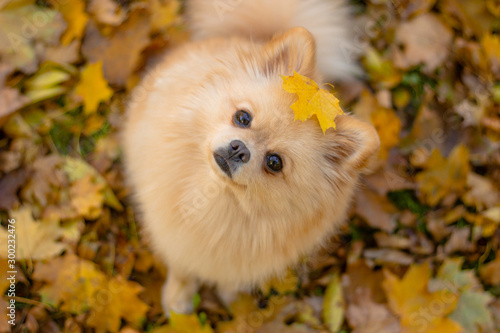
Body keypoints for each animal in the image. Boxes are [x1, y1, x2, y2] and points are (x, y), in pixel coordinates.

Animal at [123, 0, 380, 314]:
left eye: (274, 163)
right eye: (243, 117)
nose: (239, 149)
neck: (215, 198)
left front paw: (230, 296)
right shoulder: (175, 237)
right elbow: (182, 268)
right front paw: (178, 298)